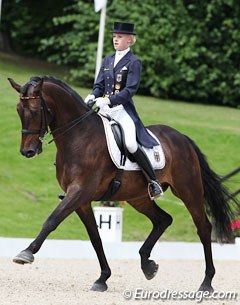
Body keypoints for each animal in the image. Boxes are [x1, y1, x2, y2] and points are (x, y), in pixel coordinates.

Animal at [8, 76, 233, 292]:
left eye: (35, 110)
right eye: (18, 110)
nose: (27, 151)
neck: (79, 136)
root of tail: (183, 138)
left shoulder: (79, 191)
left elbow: (52, 220)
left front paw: (26, 253)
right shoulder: (81, 201)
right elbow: (95, 238)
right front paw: (103, 278)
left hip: (189, 190)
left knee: (203, 227)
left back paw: (206, 282)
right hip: (138, 198)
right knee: (163, 219)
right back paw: (147, 265)